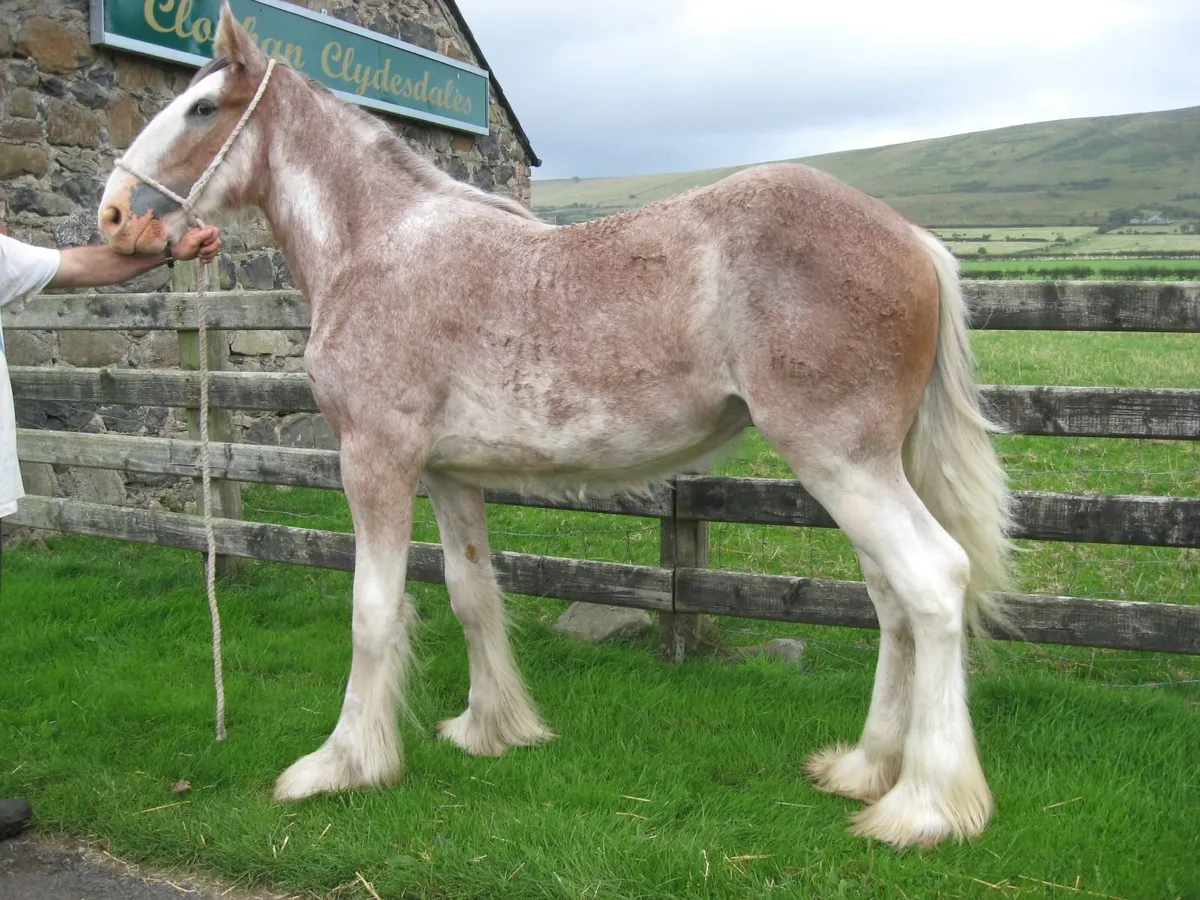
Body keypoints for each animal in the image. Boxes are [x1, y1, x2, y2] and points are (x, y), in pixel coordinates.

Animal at [97, 2, 1012, 849]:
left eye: (203, 108)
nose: (112, 215)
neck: (380, 246)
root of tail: (913, 238)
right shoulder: (447, 476)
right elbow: (471, 595)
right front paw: (490, 729)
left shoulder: (375, 461)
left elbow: (373, 611)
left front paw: (342, 764)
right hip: (860, 471)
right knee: (891, 602)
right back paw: (865, 768)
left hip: (842, 463)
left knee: (932, 584)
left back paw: (924, 807)